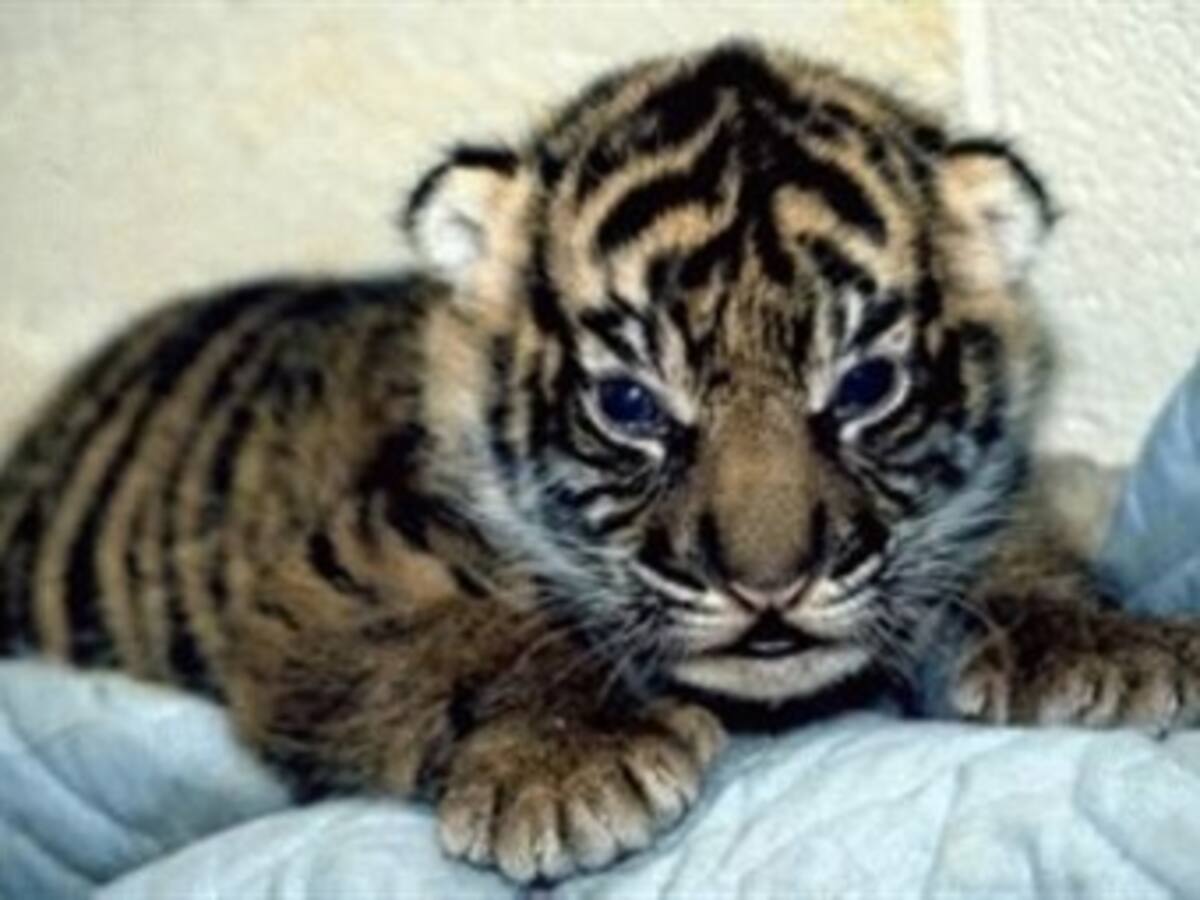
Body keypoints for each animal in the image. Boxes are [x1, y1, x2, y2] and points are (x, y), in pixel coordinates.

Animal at [2, 40, 1196, 884]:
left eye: (862, 388)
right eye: (630, 405)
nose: (769, 589)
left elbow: (1008, 542)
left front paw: (1110, 646)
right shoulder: (331, 588)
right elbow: (484, 638)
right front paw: (572, 763)